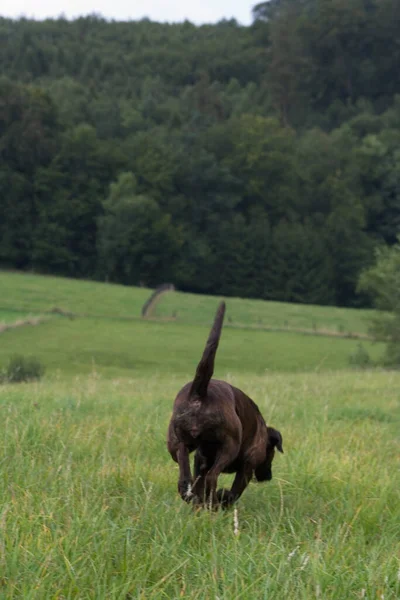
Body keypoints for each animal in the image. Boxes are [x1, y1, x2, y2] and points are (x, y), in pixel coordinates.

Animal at [167, 300, 282, 506]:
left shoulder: (200, 460)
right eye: (271, 453)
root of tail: (200, 394)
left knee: (184, 475)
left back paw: (193, 496)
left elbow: (198, 482)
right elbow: (235, 491)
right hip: (228, 446)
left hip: (178, 443)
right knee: (212, 476)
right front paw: (223, 498)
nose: (268, 476)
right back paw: (213, 502)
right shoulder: (248, 465)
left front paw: (202, 501)